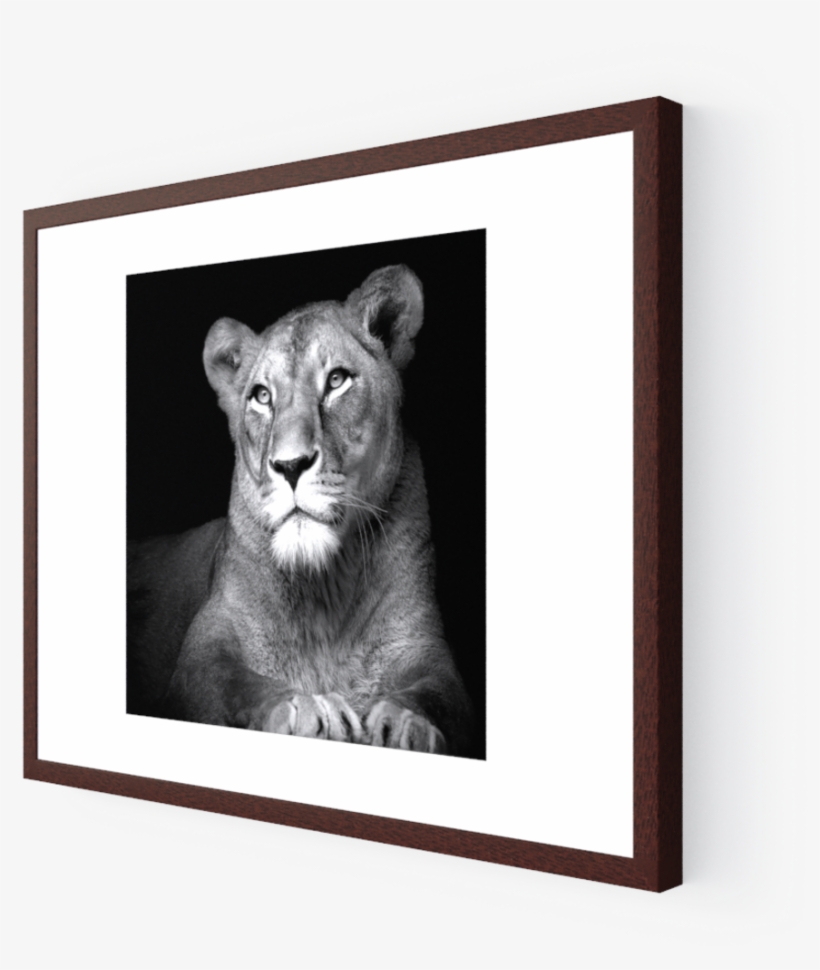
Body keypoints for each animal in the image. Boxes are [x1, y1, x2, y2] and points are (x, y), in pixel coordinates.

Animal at [127, 265, 473, 755]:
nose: (290, 466)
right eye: (261, 396)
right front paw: (309, 708)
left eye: (337, 380)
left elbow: (437, 695)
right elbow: (236, 683)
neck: (326, 585)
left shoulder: (424, 647)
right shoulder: (205, 649)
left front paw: (404, 724)